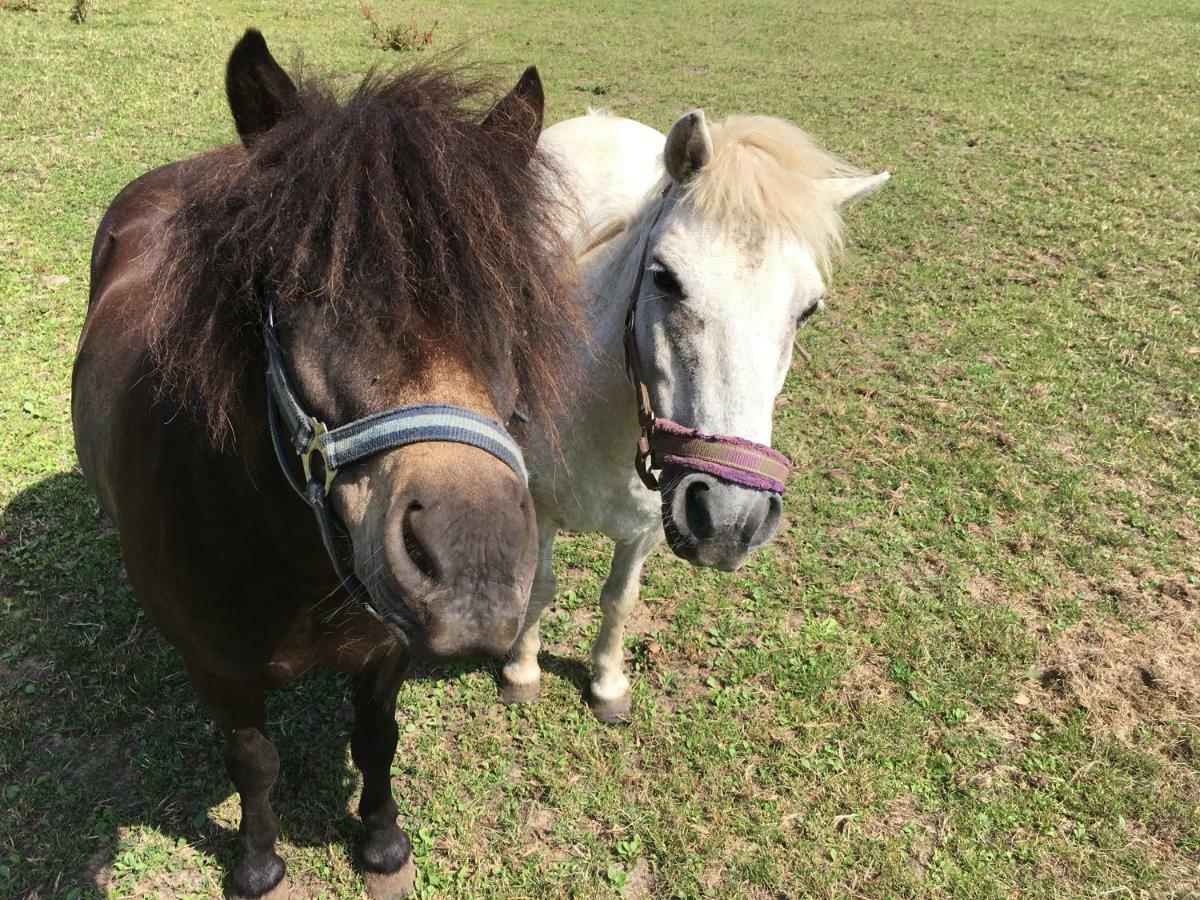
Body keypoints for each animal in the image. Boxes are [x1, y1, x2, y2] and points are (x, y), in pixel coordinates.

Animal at [72, 31, 578, 897]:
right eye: (301, 288)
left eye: (511, 295)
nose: (474, 570)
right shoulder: (221, 674)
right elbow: (253, 763)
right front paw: (259, 864)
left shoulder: (387, 648)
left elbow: (377, 741)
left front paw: (380, 843)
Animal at [501, 109, 888, 724]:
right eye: (664, 277)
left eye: (809, 309)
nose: (731, 520)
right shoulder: (539, 507)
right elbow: (541, 587)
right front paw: (521, 671)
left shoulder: (645, 530)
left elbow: (620, 600)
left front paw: (608, 684)